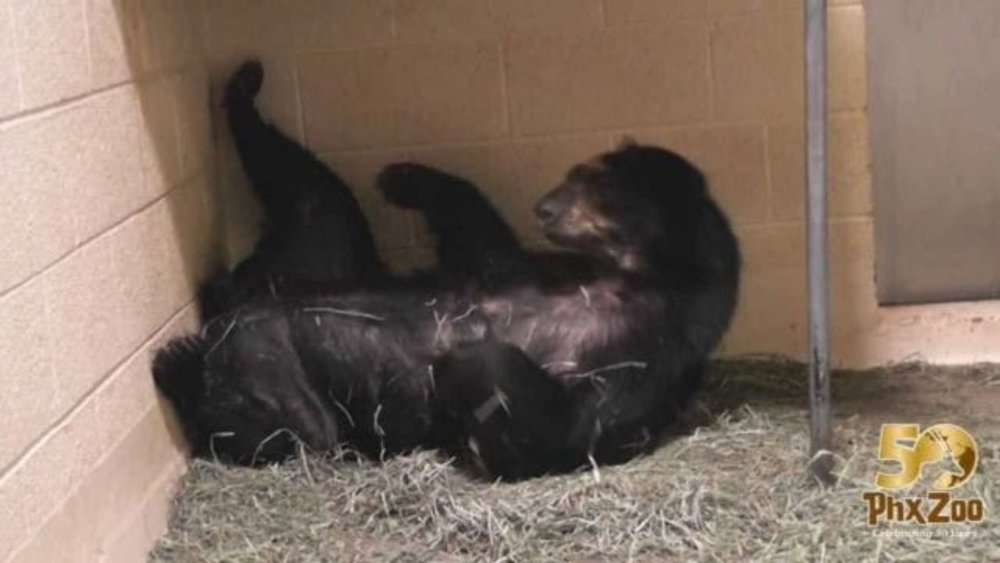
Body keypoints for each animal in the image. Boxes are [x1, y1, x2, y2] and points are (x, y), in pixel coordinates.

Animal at [152, 61, 742, 480]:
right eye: (577, 171)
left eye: (597, 185)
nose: (545, 206)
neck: (631, 277)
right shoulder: (523, 269)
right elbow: (478, 235)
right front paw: (403, 177)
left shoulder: (641, 355)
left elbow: (551, 429)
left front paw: (465, 355)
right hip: (314, 267)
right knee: (316, 200)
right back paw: (244, 87)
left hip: (283, 378)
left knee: (283, 425)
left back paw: (177, 360)